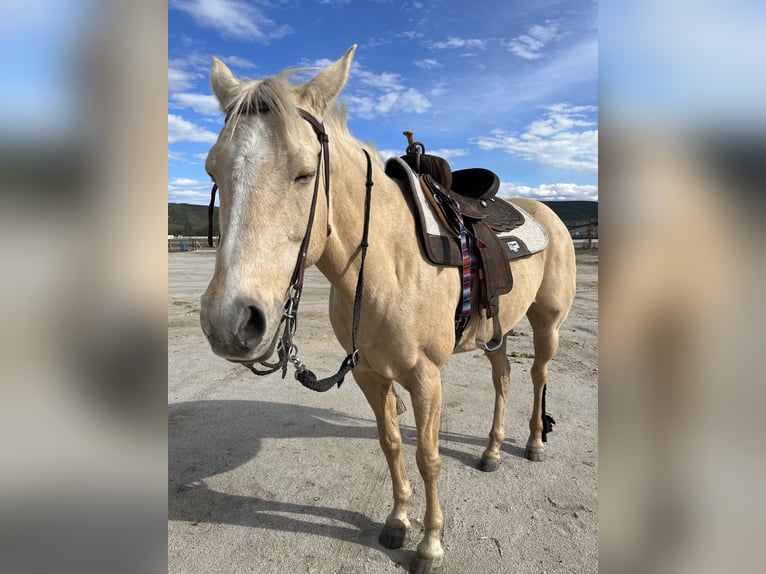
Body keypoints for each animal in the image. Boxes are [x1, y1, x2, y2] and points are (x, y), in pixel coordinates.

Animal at [198, 46, 576, 574]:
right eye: (213, 172)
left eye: (305, 172)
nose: (229, 322)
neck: (387, 262)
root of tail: (546, 212)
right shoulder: (369, 374)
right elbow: (392, 444)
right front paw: (398, 521)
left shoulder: (425, 376)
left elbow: (429, 457)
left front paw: (430, 543)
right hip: (493, 332)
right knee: (502, 379)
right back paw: (492, 451)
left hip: (548, 323)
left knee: (538, 375)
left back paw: (534, 443)